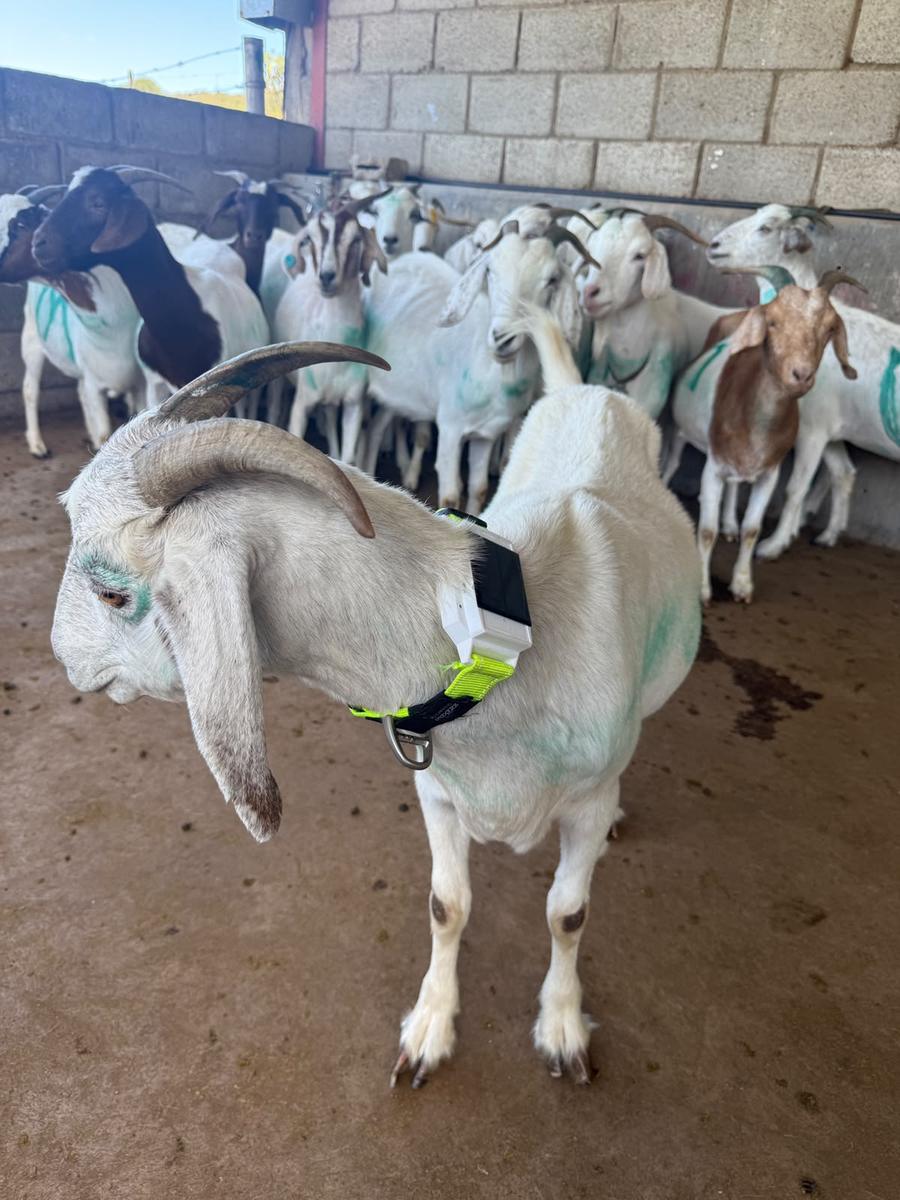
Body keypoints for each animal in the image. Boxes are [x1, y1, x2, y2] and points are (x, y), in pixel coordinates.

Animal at [0, 187, 143, 456]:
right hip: (32, 341)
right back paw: (37, 445)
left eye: (21, 225)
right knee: (30, 389)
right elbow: (105, 431)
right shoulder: (95, 377)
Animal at [51, 326, 700, 1089]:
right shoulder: (439, 795)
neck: (508, 637)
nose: (63, 656)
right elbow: (447, 906)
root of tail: (584, 389)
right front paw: (429, 1029)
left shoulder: (587, 803)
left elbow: (567, 915)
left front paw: (563, 1027)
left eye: (113, 592)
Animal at [273, 194, 388, 463]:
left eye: (356, 239)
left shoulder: (354, 404)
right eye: (309, 238)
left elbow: (347, 457)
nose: (326, 277)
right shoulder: (302, 403)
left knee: (329, 414)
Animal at [678, 270, 859, 604]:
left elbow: (752, 528)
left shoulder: (769, 473)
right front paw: (702, 590)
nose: (801, 375)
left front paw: (742, 585)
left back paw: (730, 525)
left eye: (829, 328)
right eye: (772, 321)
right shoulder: (714, 466)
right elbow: (706, 530)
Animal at [705, 203, 898, 558]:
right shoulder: (830, 428)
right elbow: (842, 474)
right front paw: (825, 533)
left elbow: (795, 488)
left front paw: (773, 545)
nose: (714, 246)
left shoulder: (813, 429)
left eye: (765, 228)